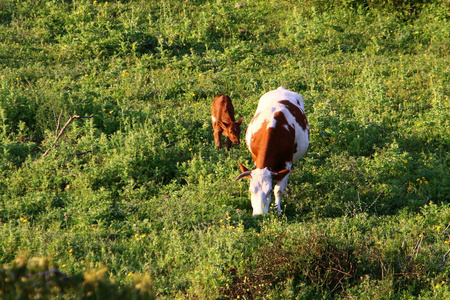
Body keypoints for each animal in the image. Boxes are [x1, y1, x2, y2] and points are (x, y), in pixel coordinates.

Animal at [236, 86, 310, 216]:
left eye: (269, 190)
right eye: (251, 190)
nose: (259, 214)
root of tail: (281, 88)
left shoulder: (287, 163)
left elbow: (278, 189)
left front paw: (278, 210)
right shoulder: (255, 158)